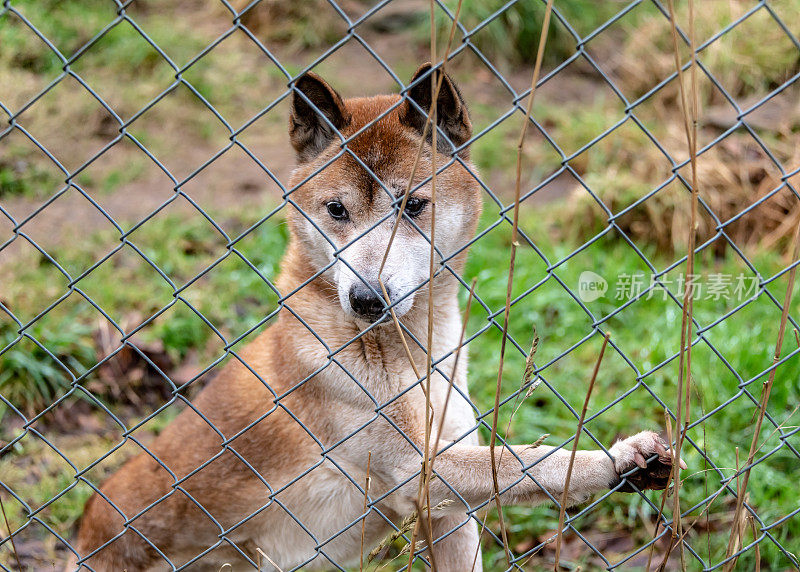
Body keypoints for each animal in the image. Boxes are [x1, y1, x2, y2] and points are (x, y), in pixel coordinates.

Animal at [70, 63, 680, 572]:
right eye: (337, 210)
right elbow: (539, 462)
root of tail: (83, 539)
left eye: (412, 205)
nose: (366, 299)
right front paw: (618, 460)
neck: (415, 353)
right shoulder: (419, 470)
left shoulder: (448, 507)